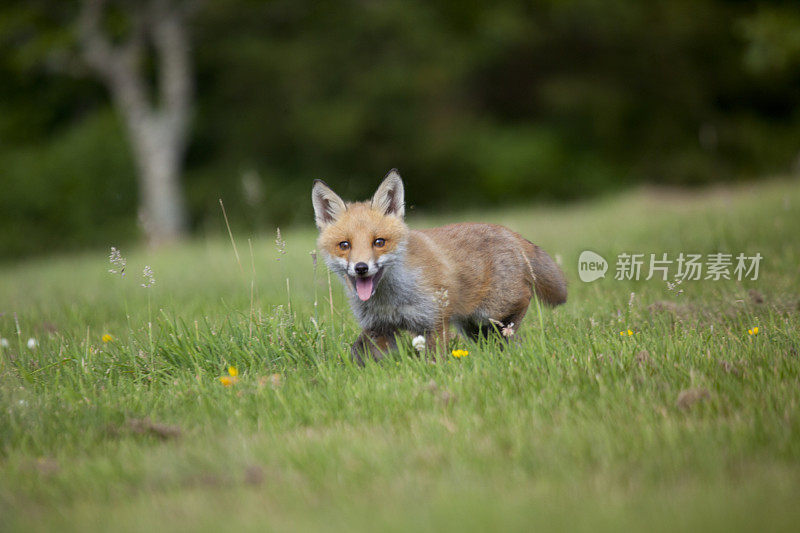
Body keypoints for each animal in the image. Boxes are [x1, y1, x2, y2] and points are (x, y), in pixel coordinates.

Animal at [312, 170, 568, 362]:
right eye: (344, 245)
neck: (391, 300)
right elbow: (358, 353)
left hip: (493, 312)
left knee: (518, 310)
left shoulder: (434, 322)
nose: (361, 267)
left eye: (379, 242)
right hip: (470, 325)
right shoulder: (379, 328)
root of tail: (510, 232)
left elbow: (435, 360)